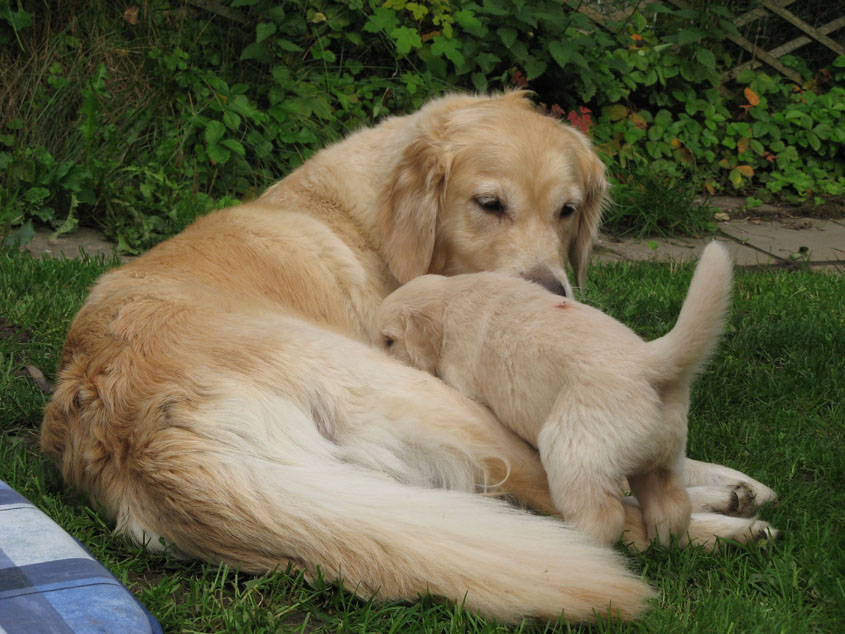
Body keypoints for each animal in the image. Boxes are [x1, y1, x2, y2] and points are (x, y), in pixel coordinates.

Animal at [378, 242, 740, 544]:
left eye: (389, 340)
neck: (450, 300)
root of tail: (649, 363)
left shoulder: (463, 377)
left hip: (572, 452)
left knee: (603, 518)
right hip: (664, 455)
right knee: (672, 504)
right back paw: (666, 542)